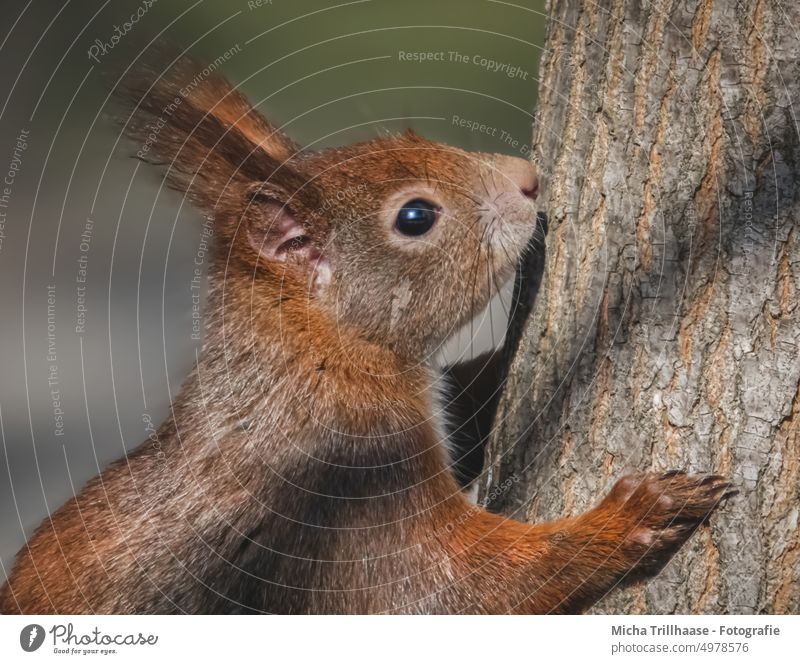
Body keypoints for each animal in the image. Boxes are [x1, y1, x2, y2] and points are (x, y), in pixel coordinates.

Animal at [0, 52, 732, 616]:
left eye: (410, 136)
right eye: (415, 217)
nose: (528, 178)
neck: (320, 353)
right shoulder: (350, 481)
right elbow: (456, 592)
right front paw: (631, 518)